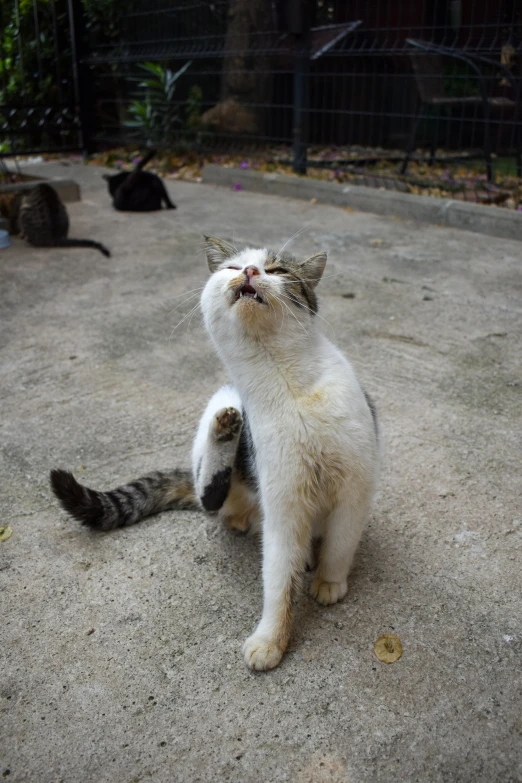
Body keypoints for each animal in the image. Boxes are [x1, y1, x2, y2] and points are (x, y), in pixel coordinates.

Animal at [50, 236, 378, 672]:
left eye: (277, 270)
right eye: (232, 268)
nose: (250, 272)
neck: (286, 381)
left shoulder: (355, 486)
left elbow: (341, 544)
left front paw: (329, 581)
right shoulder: (283, 504)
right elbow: (277, 579)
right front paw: (270, 639)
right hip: (223, 401)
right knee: (208, 493)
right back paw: (224, 437)